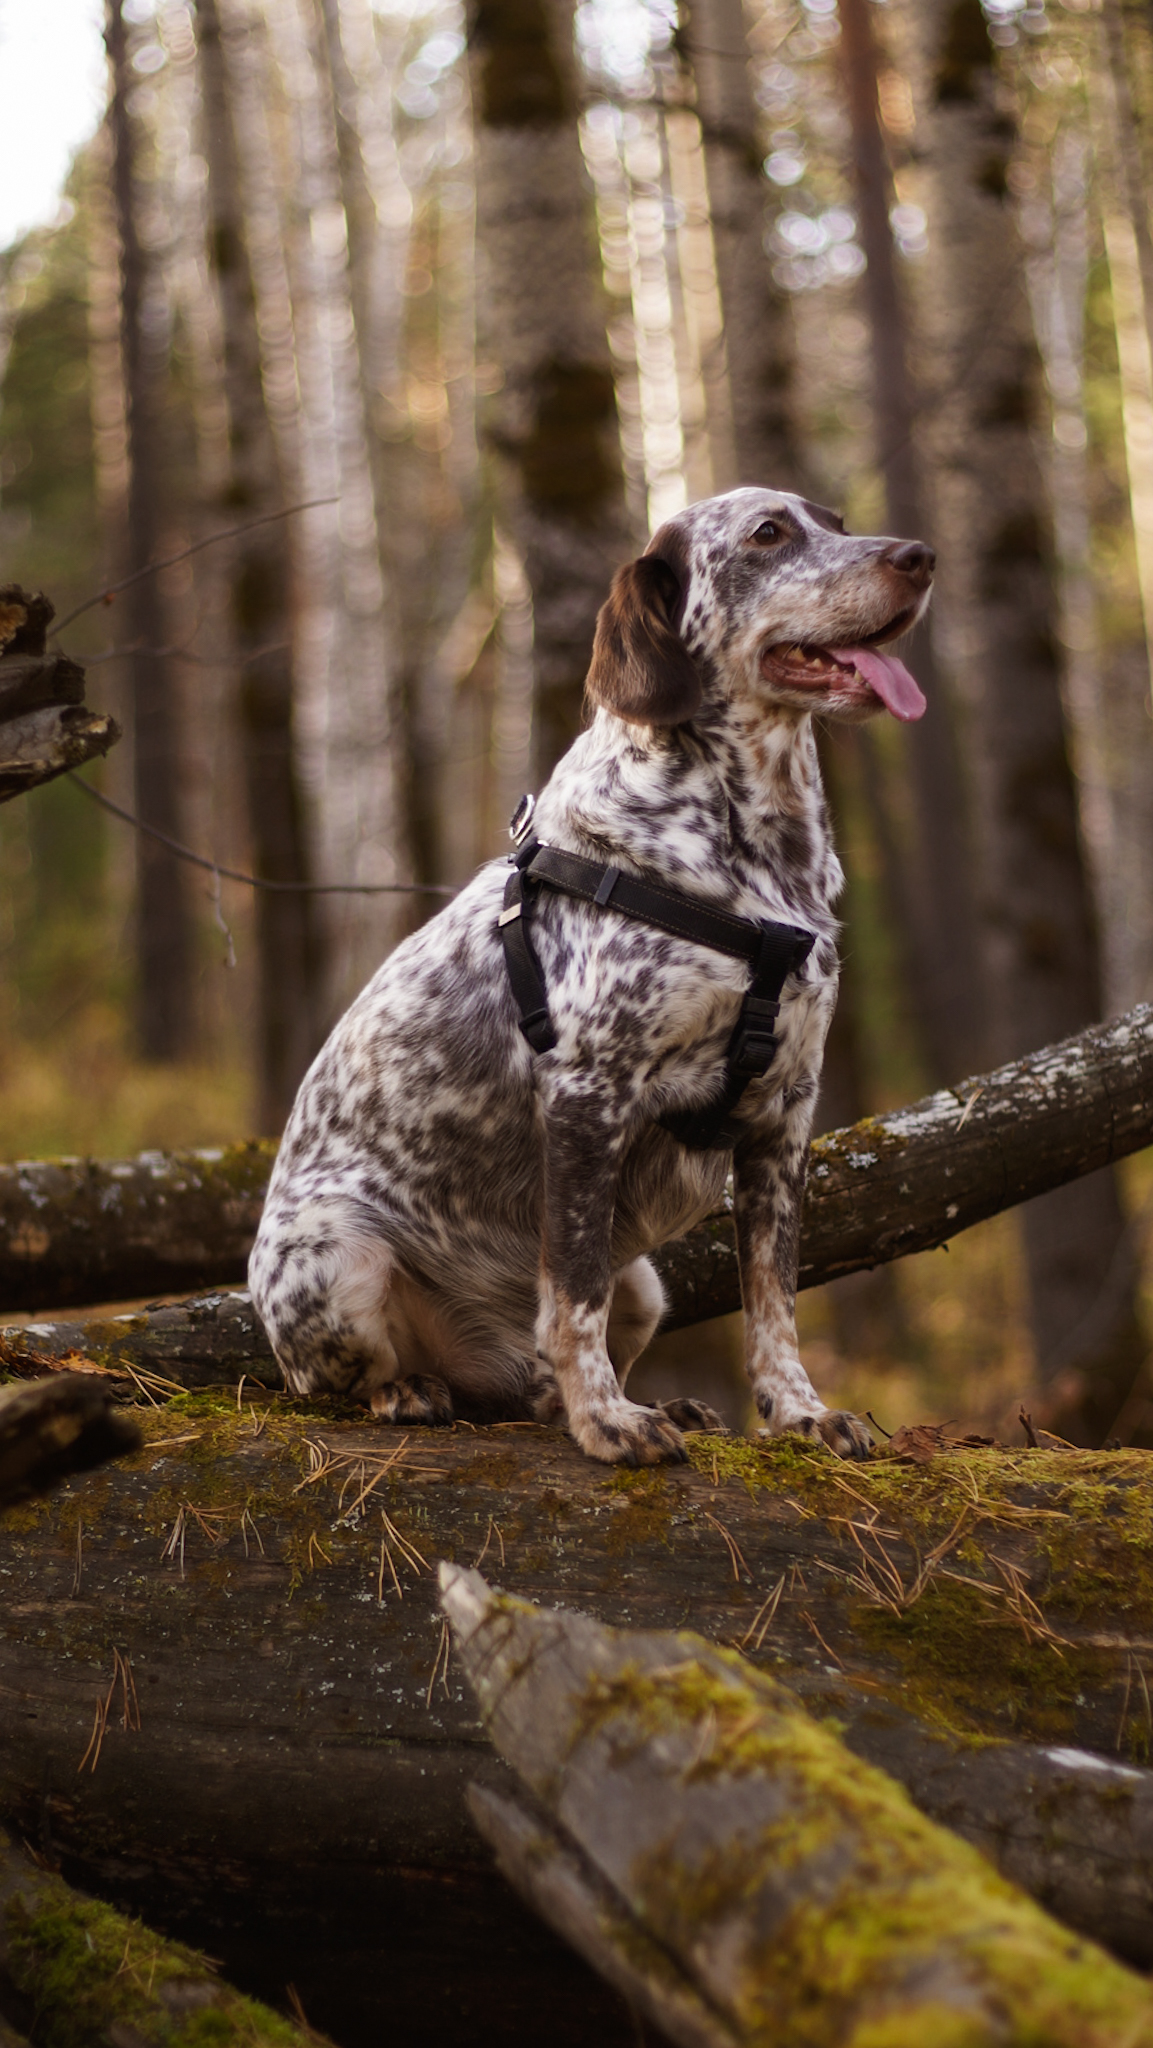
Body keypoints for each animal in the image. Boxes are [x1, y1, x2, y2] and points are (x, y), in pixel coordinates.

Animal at [247, 487, 933, 1466]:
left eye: (835, 520)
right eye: (768, 534)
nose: (919, 557)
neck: (761, 859)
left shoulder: (784, 1114)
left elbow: (773, 1298)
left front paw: (798, 1413)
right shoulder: (587, 1095)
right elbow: (573, 1293)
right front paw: (606, 1422)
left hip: (647, 1283)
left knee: (541, 1376)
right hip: (338, 1256)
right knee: (338, 1384)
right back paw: (413, 1392)